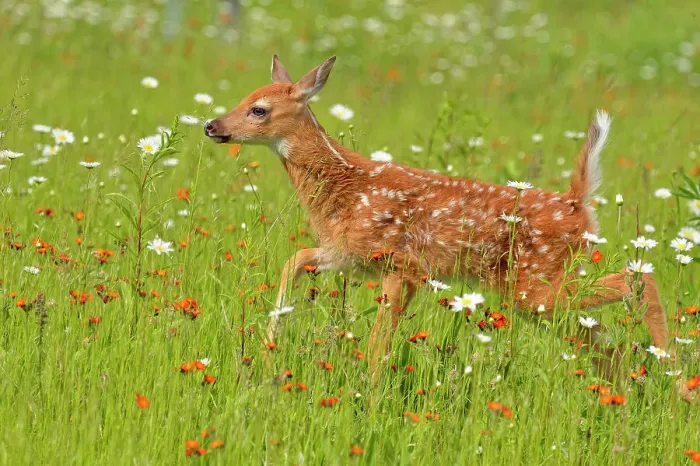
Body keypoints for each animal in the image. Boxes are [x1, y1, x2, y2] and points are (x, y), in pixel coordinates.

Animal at [204, 55, 669, 383]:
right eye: (244, 99)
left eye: (259, 109)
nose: (211, 124)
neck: (347, 186)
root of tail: (577, 202)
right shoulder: (349, 253)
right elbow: (296, 258)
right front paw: (273, 334)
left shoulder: (401, 263)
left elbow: (378, 346)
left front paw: (370, 398)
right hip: (538, 294)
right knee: (607, 344)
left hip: (537, 283)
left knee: (640, 282)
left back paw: (674, 376)